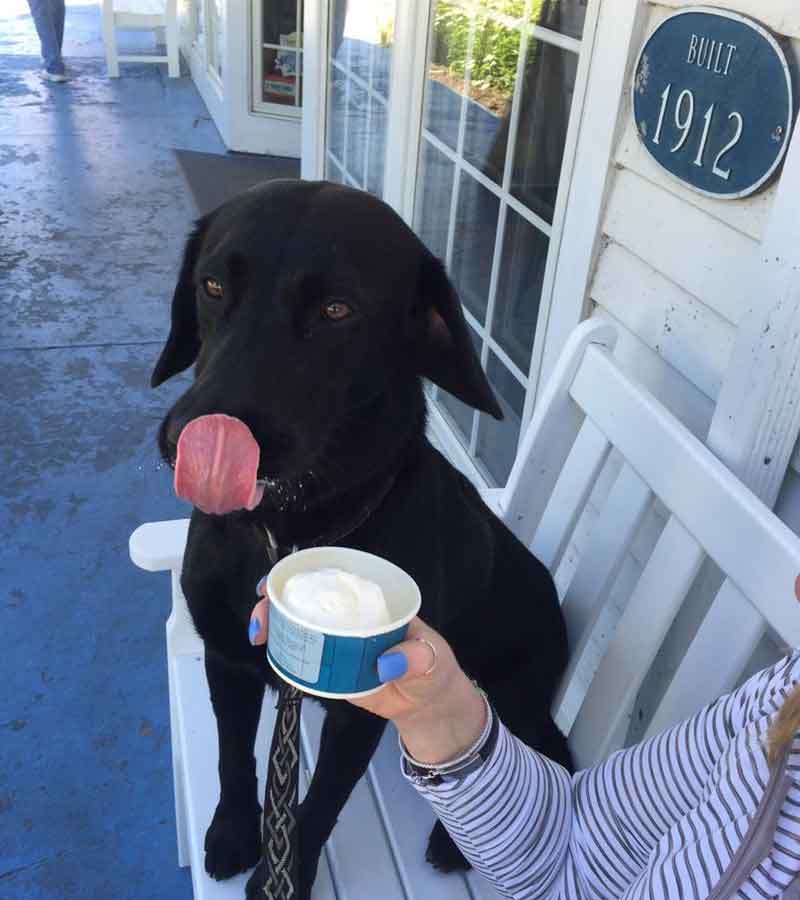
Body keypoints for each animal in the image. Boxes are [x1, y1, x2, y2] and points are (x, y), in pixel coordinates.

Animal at [153, 179, 568, 896]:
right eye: (211, 286)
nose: (187, 444)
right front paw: (233, 832)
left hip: (514, 688)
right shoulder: (226, 658)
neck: (289, 534)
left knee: (548, 755)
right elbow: (233, 758)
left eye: (336, 310)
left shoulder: (365, 709)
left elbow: (320, 803)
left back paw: (455, 840)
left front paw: (284, 874)